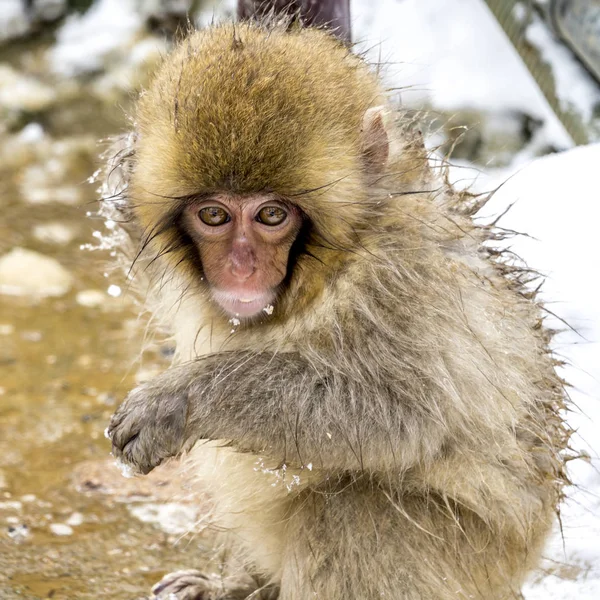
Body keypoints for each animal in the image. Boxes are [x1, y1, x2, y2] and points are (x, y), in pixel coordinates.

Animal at [105, 18, 568, 600]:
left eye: (271, 215)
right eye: (213, 215)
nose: (240, 267)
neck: (324, 270)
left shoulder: (403, 276)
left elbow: (400, 416)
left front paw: (181, 400)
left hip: (476, 560)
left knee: (348, 512)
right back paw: (240, 586)